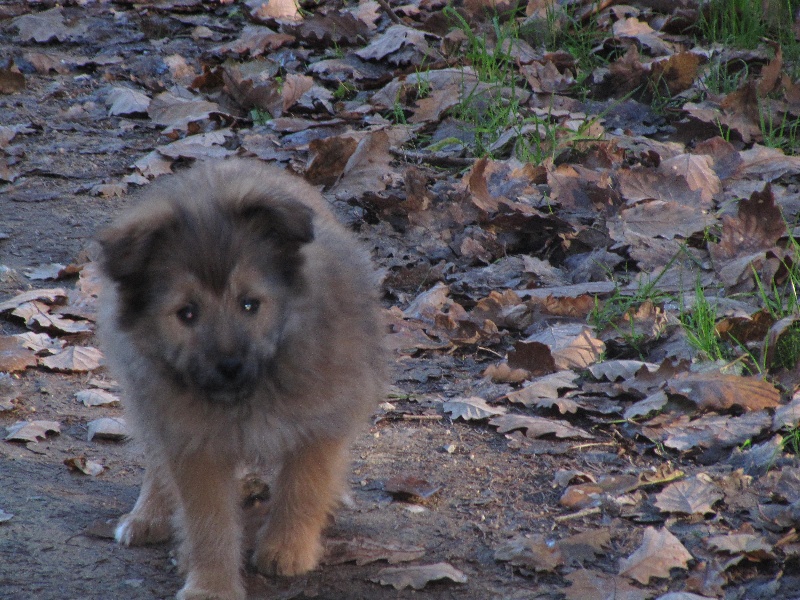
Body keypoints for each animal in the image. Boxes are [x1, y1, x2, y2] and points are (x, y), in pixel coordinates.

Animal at [98, 159, 386, 600]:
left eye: (250, 304)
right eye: (186, 313)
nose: (229, 365)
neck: (251, 392)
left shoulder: (321, 420)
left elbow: (303, 486)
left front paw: (287, 548)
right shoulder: (193, 440)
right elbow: (208, 522)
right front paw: (211, 585)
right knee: (155, 461)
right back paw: (149, 514)